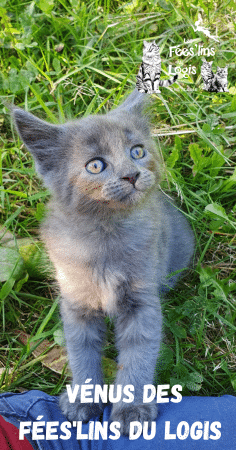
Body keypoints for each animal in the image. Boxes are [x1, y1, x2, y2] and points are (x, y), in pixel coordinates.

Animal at [12, 89, 195, 434]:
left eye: (137, 151)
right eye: (95, 165)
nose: (132, 174)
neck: (105, 237)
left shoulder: (142, 300)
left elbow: (138, 354)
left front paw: (132, 409)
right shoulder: (75, 300)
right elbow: (82, 352)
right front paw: (84, 402)